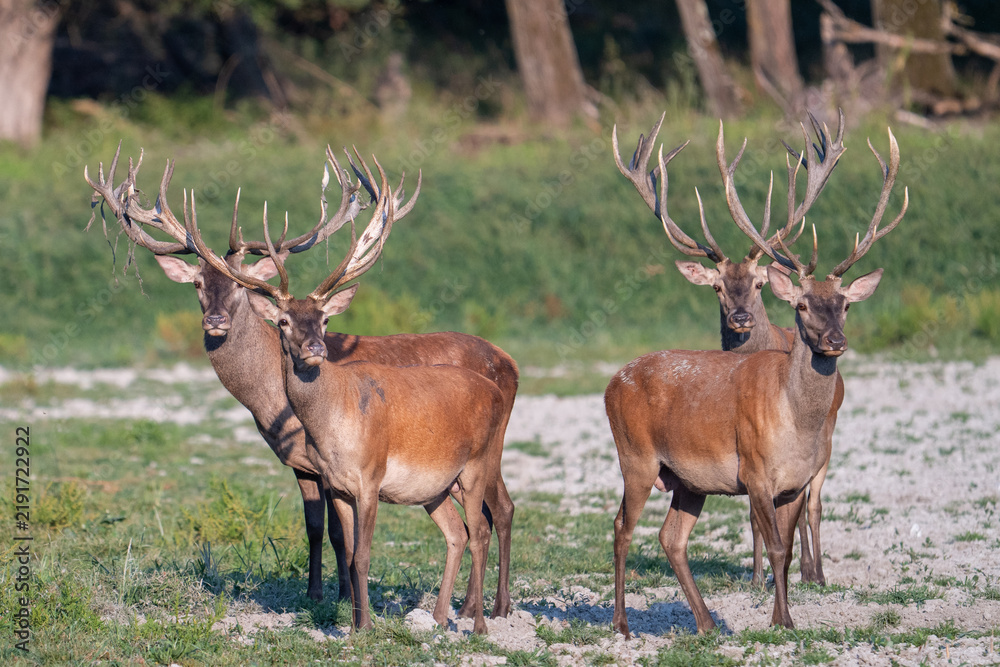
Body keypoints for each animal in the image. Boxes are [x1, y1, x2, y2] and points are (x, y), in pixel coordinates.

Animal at [85, 145, 517, 621]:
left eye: (238, 288)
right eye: (197, 283)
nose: (214, 320)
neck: (268, 400)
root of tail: (510, 362)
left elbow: (340, 535)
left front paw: (343, 596)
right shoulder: (302, 464)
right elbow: (314, 528)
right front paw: (315, 594)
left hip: (488, 449)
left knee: (501, 509)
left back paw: (493, 608)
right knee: (486, 516)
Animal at [605, 120, 907, 636]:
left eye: (845, 304)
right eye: (801, 305)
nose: (835, 340)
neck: (794, 423)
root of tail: (610, 383)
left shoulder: (794, 482)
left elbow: (786, 545)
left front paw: (787, 615)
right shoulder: (755, 471)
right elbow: (777, 546)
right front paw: (782, 620)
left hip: (687, 480)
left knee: (671, 537)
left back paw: (708, 623)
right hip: (636, 458)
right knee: (622, 528)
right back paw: (622, 623)